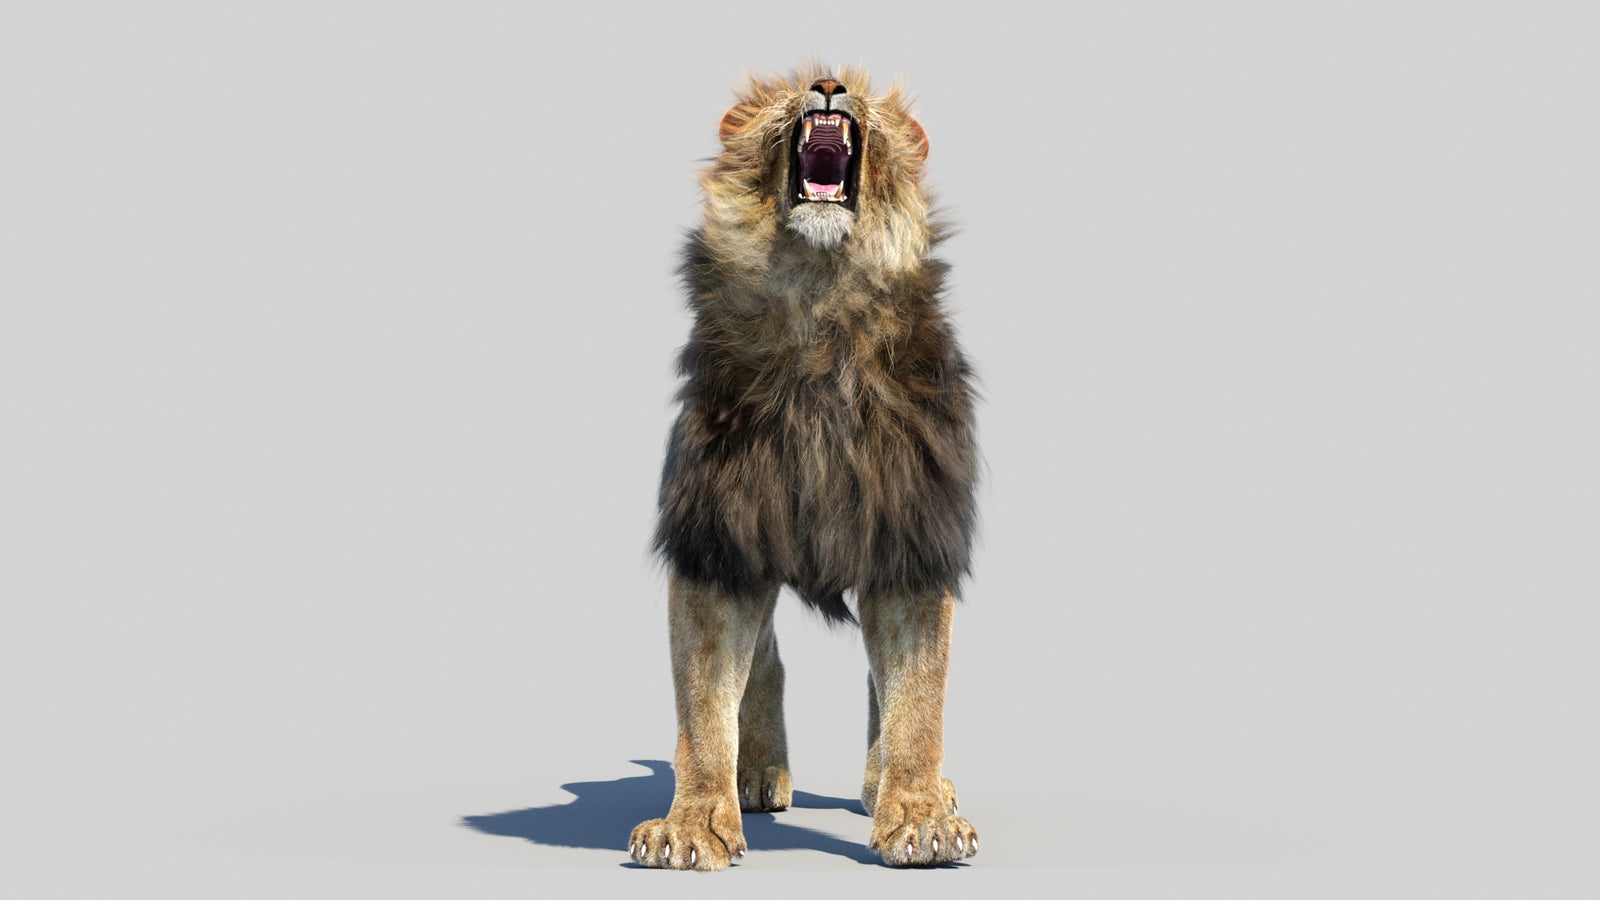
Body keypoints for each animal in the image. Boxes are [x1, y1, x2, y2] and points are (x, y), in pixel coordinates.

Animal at [629, 67, 980, 870]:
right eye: (787, 91)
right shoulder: (718, 538)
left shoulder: (910, 538)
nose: (827, 86)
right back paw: (756, 772)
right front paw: (693, 823)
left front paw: (919, 817)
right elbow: (703, 702)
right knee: (764, 659)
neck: (821, 304)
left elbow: (918, 695)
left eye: (867, 100)